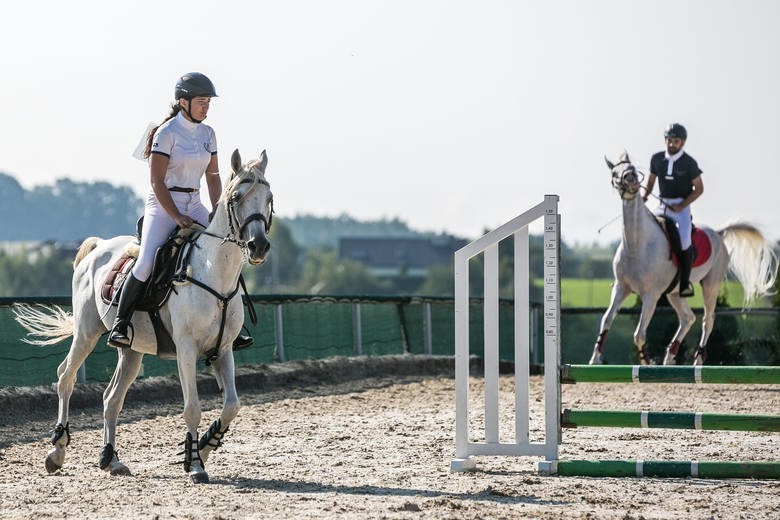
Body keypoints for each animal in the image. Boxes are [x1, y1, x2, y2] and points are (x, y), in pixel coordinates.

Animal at [11, 148, 274, 482]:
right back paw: (57, 450)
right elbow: (192, 408)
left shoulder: (223, 350)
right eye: (237, 196)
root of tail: (98, 247)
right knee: (65, 377)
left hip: (131, 352)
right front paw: (195, 465)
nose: (258, 246)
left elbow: (232, 406)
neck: (214, 274)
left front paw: (202, 448)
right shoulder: (186, 350)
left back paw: (111, 459)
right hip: (86, 332)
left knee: (111, 399)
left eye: (269, 198)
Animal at [592, 151, 772, 366]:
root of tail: (718, 233)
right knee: (688, 318)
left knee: (707, 320)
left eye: (633, 168)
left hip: (711, 285)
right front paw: (595, 358)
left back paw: (697, 360)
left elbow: (639, 334)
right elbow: (606, 319)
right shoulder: (621, 287)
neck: (637, 244)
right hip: (674, 293)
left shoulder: (651, 295)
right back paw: (670, 356)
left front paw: (646, 361)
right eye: (614, 173)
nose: (631, 180)